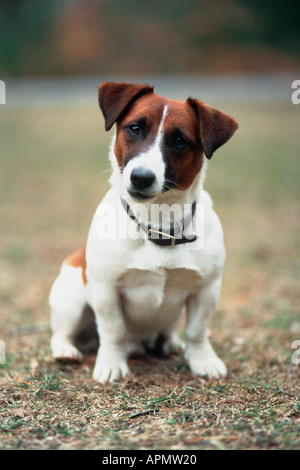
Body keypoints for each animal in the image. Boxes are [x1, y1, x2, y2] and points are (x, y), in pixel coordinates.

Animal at [49, 82, 238, 384]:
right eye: (135, 128)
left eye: (180, 141)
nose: (141, 177)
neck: (157, 223)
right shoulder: (106, 290)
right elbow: (113, 331)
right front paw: (112, 364)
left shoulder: (206, 288)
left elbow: (196, 331)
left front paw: (202, 360)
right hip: (71, 302)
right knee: (62, 333)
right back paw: (67, 350)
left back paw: (169, 343)